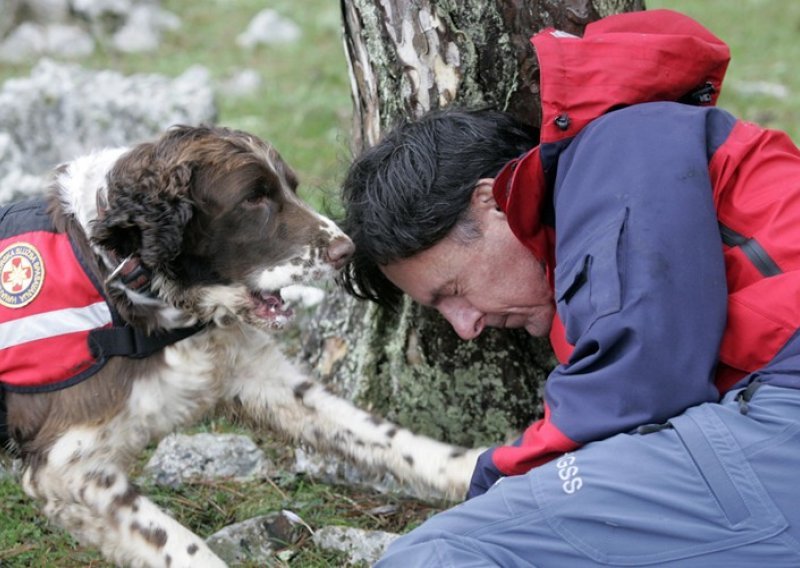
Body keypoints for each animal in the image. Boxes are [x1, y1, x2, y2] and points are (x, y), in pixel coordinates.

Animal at [0, 125, 482, 568]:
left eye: (291, 187)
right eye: (253, 199)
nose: (348, 249)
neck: (133, 280)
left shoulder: (256, 375)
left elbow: (379, 434)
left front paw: (470, 466)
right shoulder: (67, 465)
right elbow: (180, 544)